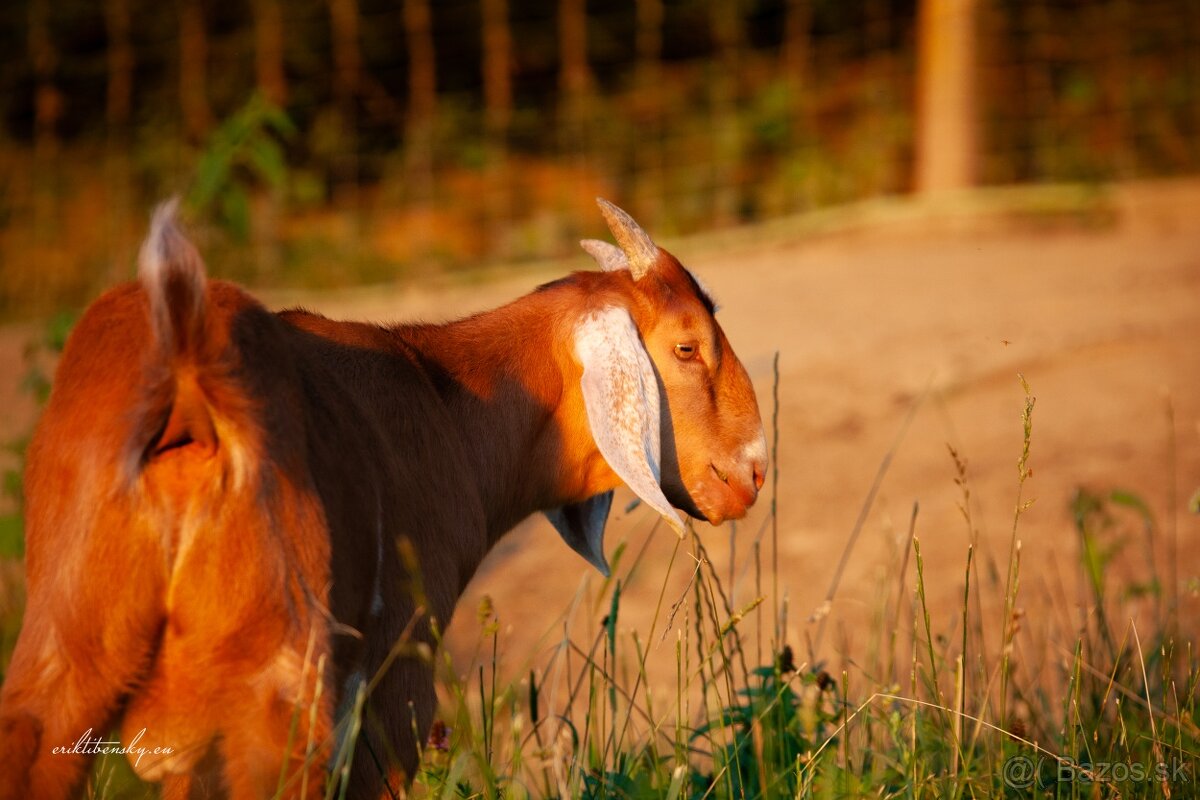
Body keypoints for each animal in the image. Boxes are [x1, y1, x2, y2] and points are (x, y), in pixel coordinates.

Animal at [0, 196, 763, 796]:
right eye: (688, 348)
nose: (751, 473)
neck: (445, 398)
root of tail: (190, 371)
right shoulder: (396, 681)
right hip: (279, 681)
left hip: (69, 640)